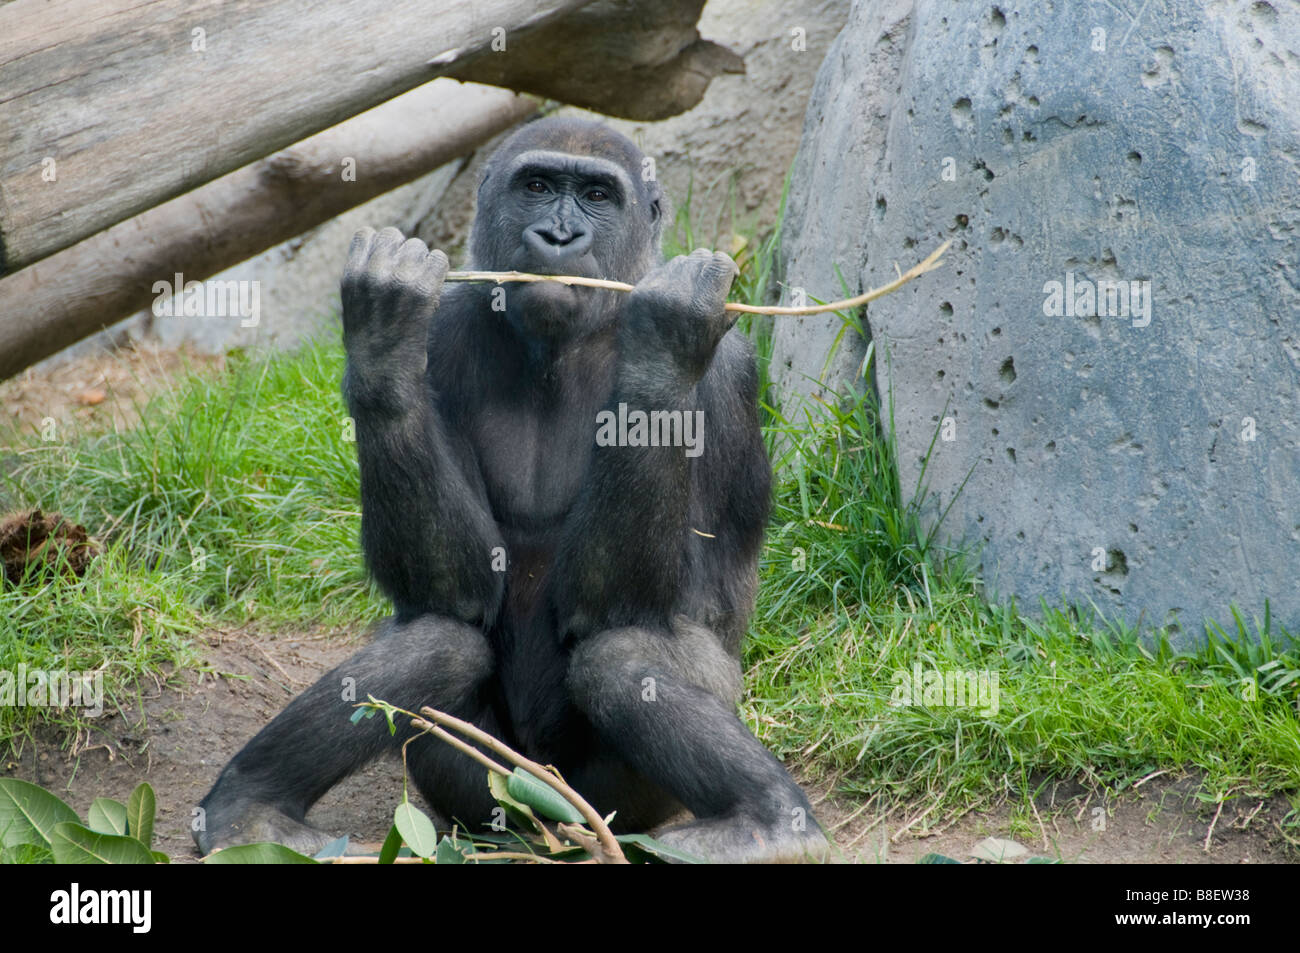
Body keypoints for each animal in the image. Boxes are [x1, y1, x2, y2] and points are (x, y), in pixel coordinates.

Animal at [195, 115, 821, 858]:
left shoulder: (725, 374)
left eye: (597, 196)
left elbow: (632, 602)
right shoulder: (444, 330)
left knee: (619, 656)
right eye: (539, 187)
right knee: (441, 643)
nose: (558, 236)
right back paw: (249, 806)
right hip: (485, 793)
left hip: (608, 805)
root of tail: (545, 819)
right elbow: (454, 587)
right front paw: (381, 336)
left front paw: (668, 338)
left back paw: (771, 821)